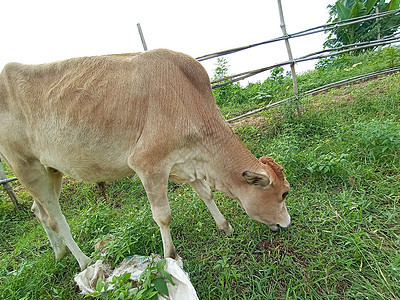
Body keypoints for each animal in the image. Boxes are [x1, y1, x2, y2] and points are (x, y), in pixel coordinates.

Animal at [0, 48, 288, 270]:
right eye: (284, 193)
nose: (286, 223)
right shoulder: (149, 165)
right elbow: (163, 216)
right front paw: (171, 256)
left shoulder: (186, 162)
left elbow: (206, 193)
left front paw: (225, 226)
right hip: (26, 166)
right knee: (55, 219)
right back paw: (83, 261)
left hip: (51, 169)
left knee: (39, 211)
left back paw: (60, 253)